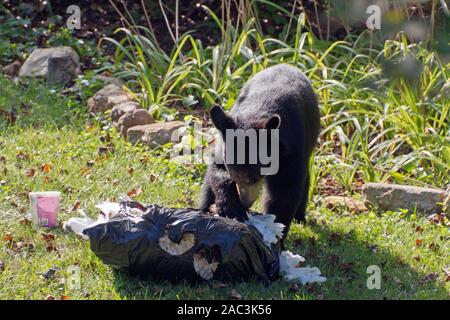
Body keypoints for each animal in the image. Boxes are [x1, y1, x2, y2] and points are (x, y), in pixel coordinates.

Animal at [200, 63, 320, 242]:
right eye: (233, 175)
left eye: (254, 177)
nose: (245, 203)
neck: (256, 113)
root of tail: (286, 64)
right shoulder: (224, 142)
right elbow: (217, 171)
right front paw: (230, 207)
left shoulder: (293, 150)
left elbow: (284, 191)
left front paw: (275, 232)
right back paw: (203, 208)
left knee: (304, 180)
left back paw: (300, 217)